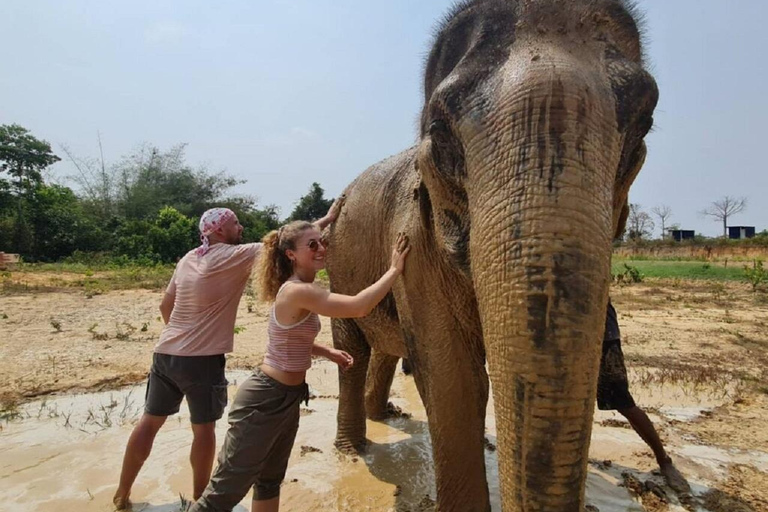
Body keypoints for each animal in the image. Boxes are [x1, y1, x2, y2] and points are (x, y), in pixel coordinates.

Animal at [322, 2, 656, 510]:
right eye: (439, 133)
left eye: (643, 128)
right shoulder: (415, 240)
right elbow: (454, 380)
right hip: (339, 263)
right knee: (353, 350)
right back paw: (353, 449)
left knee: (386, 346)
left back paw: (388, 415)